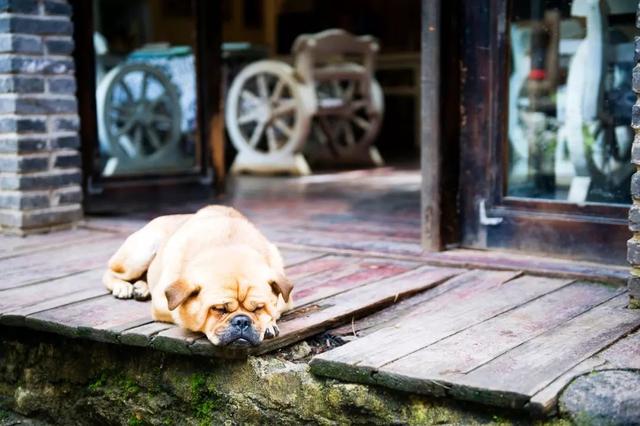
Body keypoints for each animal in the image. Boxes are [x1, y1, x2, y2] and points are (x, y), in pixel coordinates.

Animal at [102, 205, 292, 348]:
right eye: (219, 309)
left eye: (258, 308)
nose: (242, 321)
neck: (227, 246)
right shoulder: (163, 303)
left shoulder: (286, 300)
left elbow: (275, 310)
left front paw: (268, 324)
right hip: (140, 253)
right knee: (110, 272)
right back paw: (123, 286)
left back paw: (141, 287)